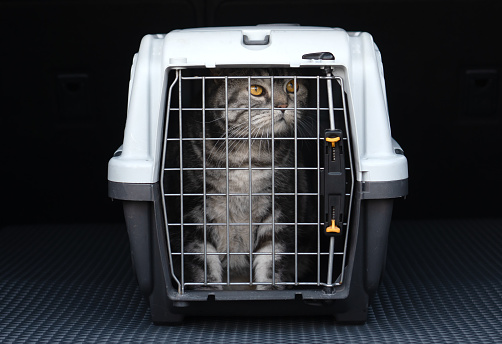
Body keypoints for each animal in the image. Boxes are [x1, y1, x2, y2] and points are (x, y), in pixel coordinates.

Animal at [168, 68, 314, 290]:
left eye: (292, 86)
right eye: (256, 90)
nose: (283, 106)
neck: (247, 155)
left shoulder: (280, 207)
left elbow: (271, 261)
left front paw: (270, 290)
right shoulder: (193, 214)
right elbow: (203, 265)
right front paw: (207, 290)